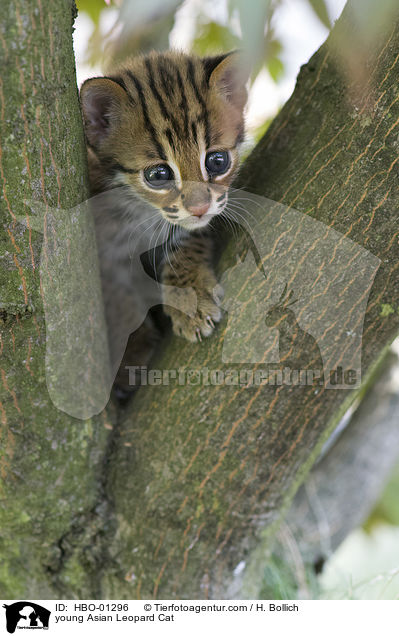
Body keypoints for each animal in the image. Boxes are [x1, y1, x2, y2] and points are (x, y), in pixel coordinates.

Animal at [79, 49, 247, 382]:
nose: (199, 207)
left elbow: (187, 239)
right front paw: (132, 348)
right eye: (158, 175)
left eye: (217, 161)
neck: (138, 210)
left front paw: (190, 298)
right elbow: (114, 294)